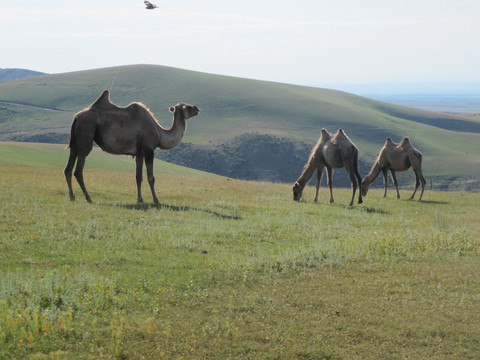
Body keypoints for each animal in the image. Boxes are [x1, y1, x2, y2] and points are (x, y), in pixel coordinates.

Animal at [63, 89, 199, 204]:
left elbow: (138, 177)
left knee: (68, 169)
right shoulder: (149, 150)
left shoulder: (139, 153)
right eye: (186, 107)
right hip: (86, 135)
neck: (160, 133)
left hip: (75, 142)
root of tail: (76, 117)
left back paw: (72, 197)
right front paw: (156, 200)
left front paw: (140, 199)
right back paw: (88, 198)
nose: (197, 108)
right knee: (78, 171)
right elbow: (151, 177)